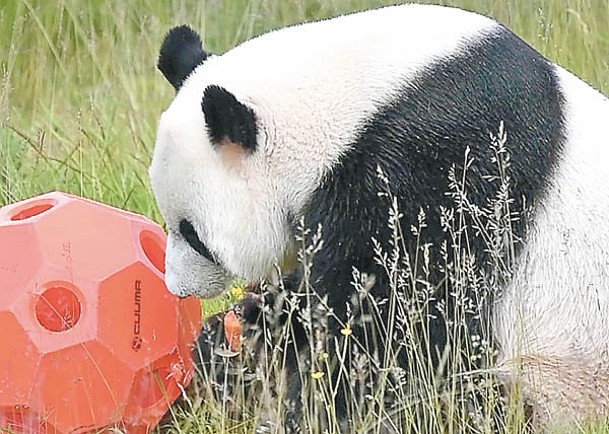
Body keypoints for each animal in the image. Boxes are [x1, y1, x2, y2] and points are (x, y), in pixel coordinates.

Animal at [150, 2, 608, 430]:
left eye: (194, 235)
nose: (178, 289)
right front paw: (236, 339)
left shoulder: (441, 165)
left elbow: (397, 318)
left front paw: (312, 408)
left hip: (561, 375)